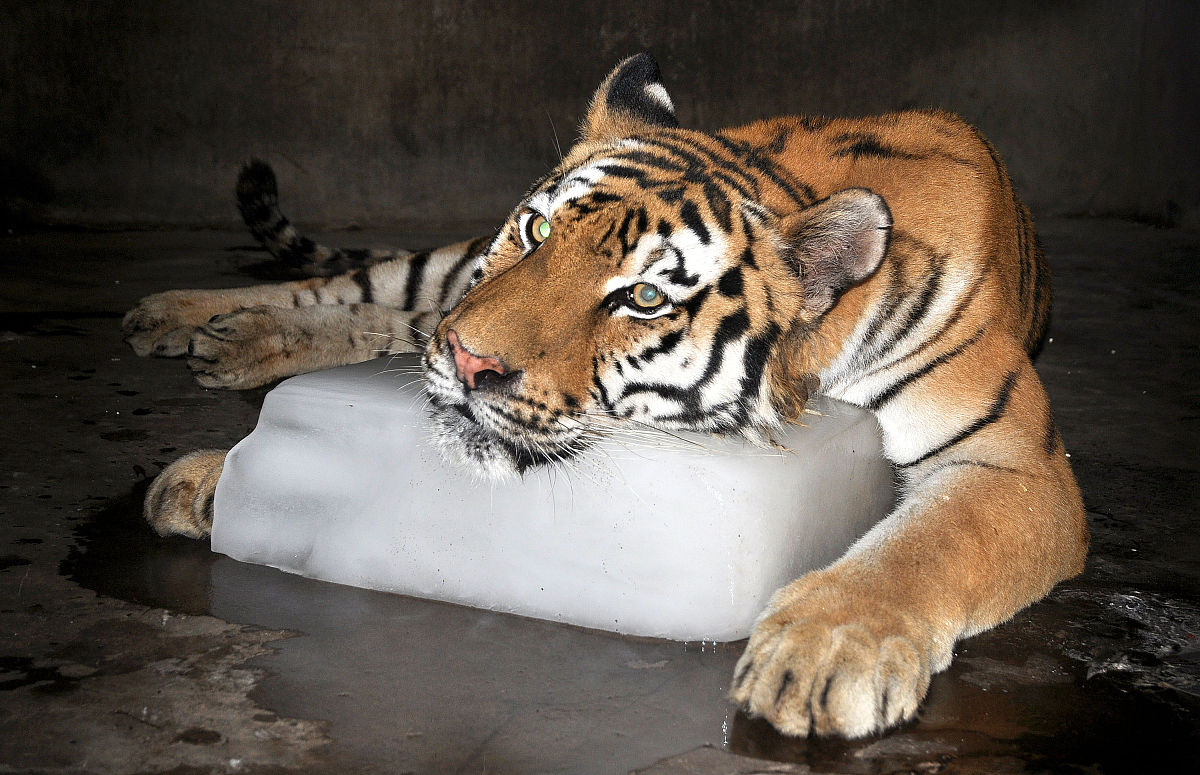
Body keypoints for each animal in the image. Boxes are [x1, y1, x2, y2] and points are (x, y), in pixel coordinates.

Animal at [123, 53, 1087, 739]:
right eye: (537, 228)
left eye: (645, 297)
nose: (469, 360)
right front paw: (213, 474)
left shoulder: (1013, 464)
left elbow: (923, 547)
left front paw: (821, 653)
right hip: (446, 276)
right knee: (373, 290)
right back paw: (187, 320)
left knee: (388, 311)